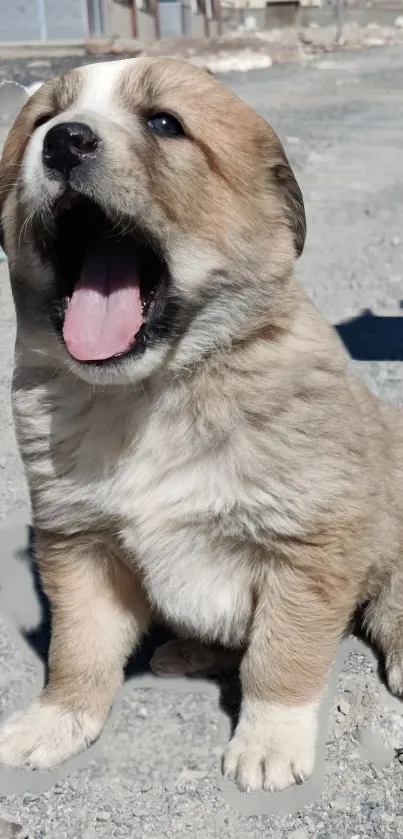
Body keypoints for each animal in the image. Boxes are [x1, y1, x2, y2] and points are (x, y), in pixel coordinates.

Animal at [0, 59, 403, 796]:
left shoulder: (306, 550)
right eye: (44, 118)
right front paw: (57, 720)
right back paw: (188, 650)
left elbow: (280, 654)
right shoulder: (78, 546)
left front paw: (270, 740)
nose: (65, 140)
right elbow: (77, 649)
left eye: (164, 122)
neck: (154, 393)